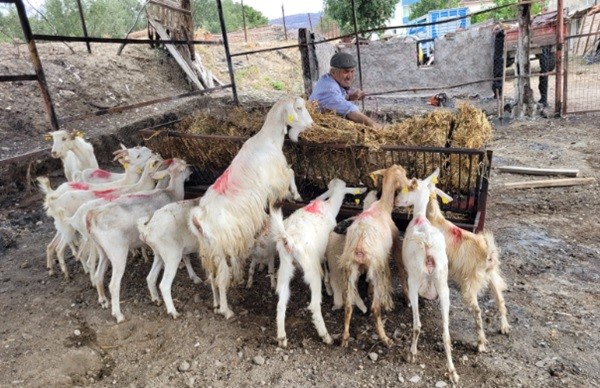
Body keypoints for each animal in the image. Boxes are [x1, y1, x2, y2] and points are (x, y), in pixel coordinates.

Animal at [190, 95, 314, 320]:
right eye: (299, 108)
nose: (311, 124)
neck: (268, 140)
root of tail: (199, 218)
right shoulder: (275, 180)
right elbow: (291, 173)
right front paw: (296, 194)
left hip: (208, 250)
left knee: (212, 276)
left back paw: (215, 304)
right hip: (220, 248)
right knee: (221, 278)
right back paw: (226, 310)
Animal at [270, 179, 366, 346]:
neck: (329, 205)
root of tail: (289, 241)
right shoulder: (325, 249)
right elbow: (326, 266)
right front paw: (329, 287)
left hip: (285, 266)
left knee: (281, 303)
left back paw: (282, 338)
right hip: (310, 269)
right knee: (314, 305)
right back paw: (326, 336)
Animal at [340, 165, 410, 348]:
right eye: (404, 173)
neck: (383, 206)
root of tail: (359, 247)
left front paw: (369, 290)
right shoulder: (395, 244)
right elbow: (401, 269)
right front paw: (407, 298)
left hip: (351, 270)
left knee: (348, 305)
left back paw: (344, 338)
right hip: (377, 269)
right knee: (375, 308)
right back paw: (385, 338)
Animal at [396, 169, 462, 384]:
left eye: (407, 187)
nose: (396, 200)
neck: (420, 218)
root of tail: (428, 248)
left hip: (416, 280)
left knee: (417, 325)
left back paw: (411, 354)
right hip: (443, 285)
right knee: (446, 334)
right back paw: (452, 372)